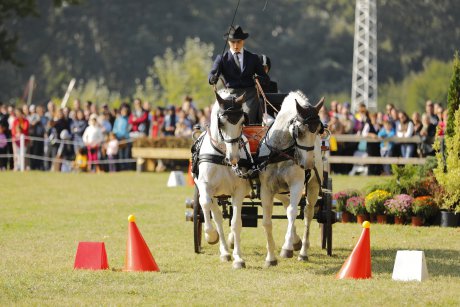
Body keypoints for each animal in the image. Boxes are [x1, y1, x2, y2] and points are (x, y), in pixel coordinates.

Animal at [193, 90, 253, 268]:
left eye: (242, 122)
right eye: (221, 123)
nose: (233, 158)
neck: (221, 156)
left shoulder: (238, 191)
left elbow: (236, 222)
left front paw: (238, 257)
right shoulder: (205, 187)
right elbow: (206, 205)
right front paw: (210, 235)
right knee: (216, 215)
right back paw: (224, 251)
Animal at [256, 91, 326, 268]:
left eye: (318, 131)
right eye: (299, 131)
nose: (308, 164)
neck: (280, 153)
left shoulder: (297, 184)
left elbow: (293, 212)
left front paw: (286, 248)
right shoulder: (266, 188)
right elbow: (267, 221)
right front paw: (270, 258)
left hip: (313, 186)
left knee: (307, 213)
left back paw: (302, 251)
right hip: (280, 190)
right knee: (287, 204)